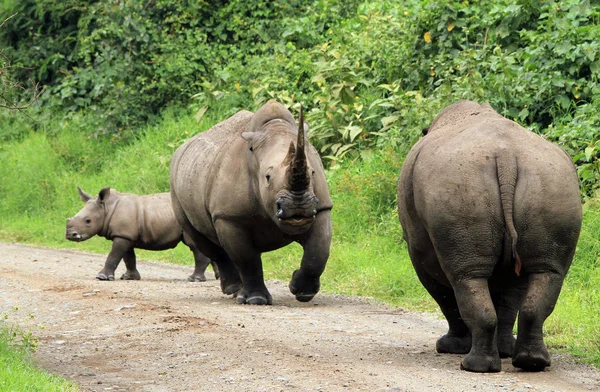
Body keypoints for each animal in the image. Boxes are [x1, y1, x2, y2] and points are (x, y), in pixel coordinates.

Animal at [65, 187, 218, 282]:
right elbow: (128, 257)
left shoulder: (122, 235)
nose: (70, 235)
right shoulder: (125, 235)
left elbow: (114, 255)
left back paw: (193, 279)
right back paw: (217, 277)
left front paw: (102, 277)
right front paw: (129, 277)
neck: (107, 208)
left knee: (195, 246)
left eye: (88, 221)